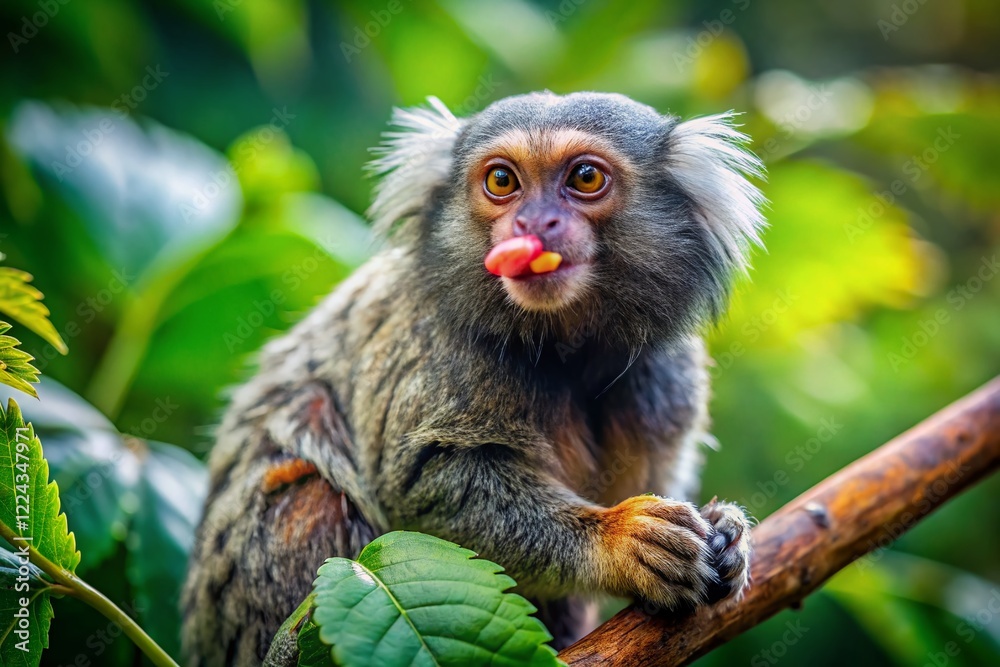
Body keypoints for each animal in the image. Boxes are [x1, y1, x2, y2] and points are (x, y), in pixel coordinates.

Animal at [181, 91, 766, 666]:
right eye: (503, 181)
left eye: (585, 178)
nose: (535, 225)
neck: (565, 350)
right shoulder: (434, 344)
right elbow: (424, 481)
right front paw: (618, 541)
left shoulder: (667, 380)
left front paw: (728, 535)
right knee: (310, 495)